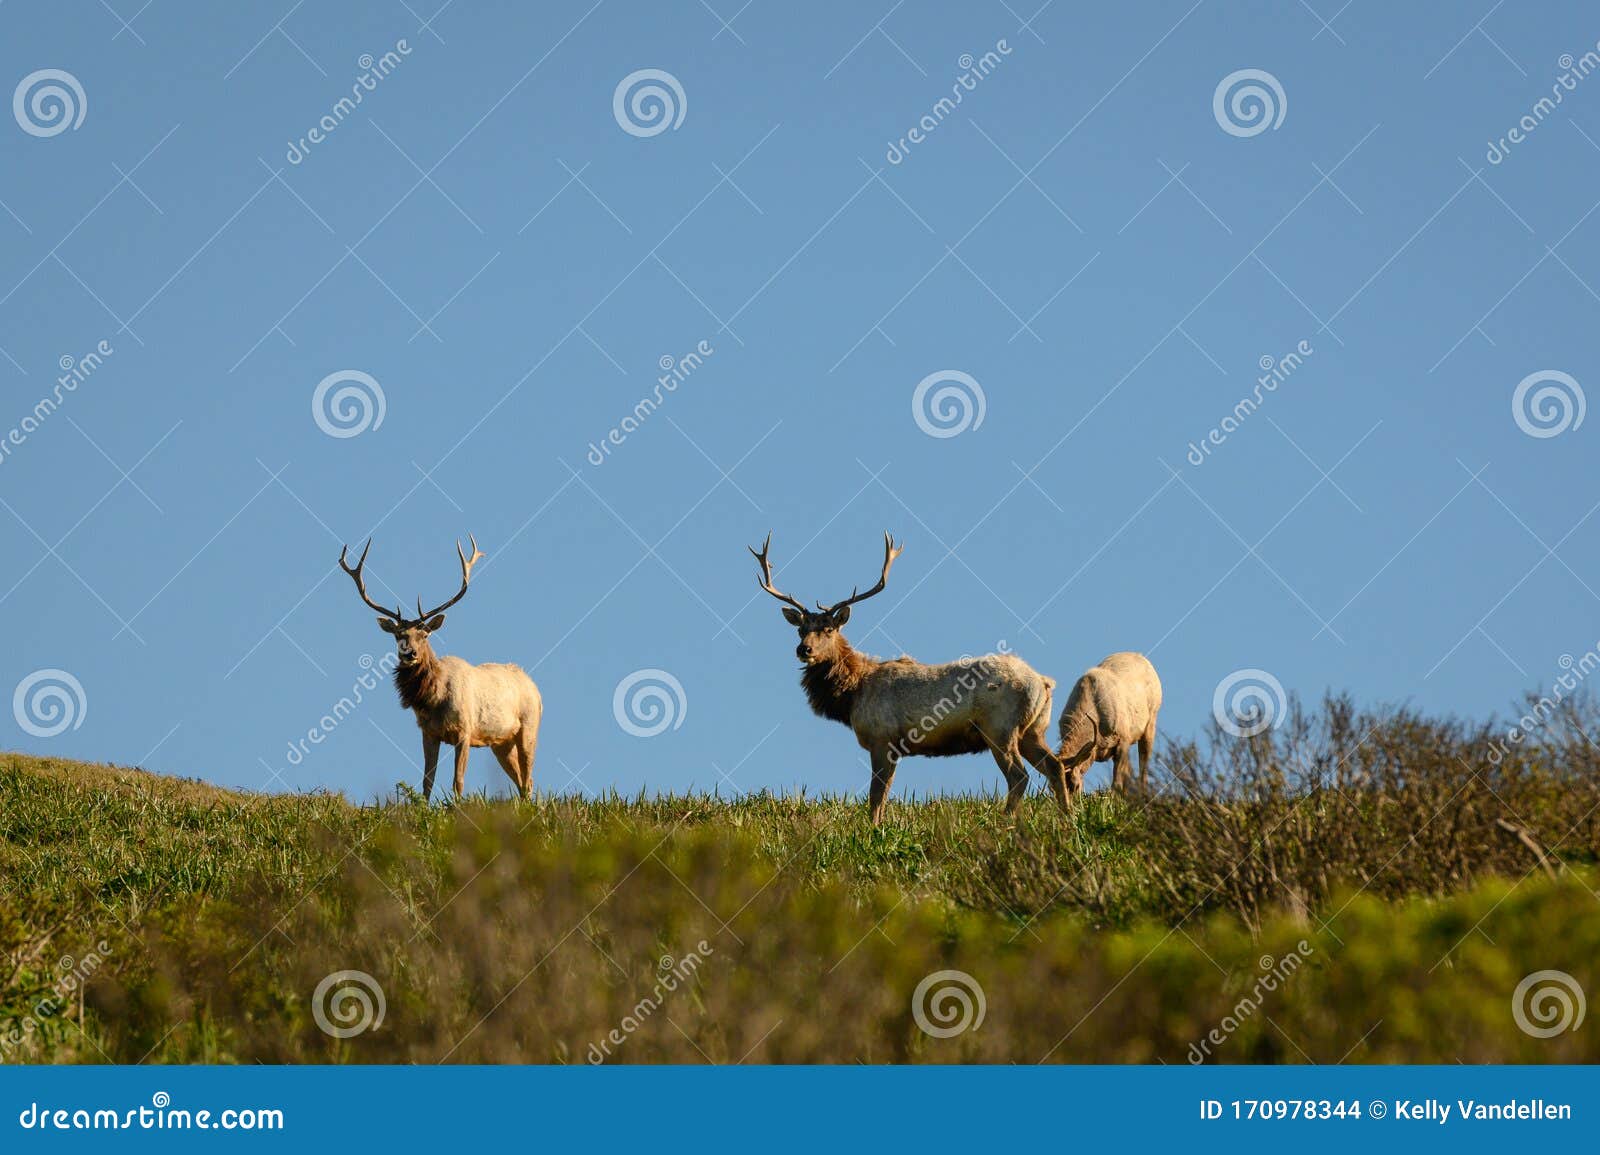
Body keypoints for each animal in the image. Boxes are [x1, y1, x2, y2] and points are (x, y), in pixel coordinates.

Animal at [338, 535, 542, 801]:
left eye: (424, 635)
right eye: (398, 635)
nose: (410, 653)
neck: (435, 699)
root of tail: (535, 689)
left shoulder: (465, 731)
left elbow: (458, 781)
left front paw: (456, 808)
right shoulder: (428, 733)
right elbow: (427, 781)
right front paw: (422, 807)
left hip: (529, 726)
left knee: (528, 779)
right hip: (501, 742)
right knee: (520, 781)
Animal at [749, 532, 1074, 824]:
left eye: (828, 629)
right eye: (801, 629)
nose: (803, 649)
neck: (853, 693)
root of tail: (1044, 682)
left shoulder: (883, 738)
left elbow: (876, 796)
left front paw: (873, 831)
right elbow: (882, 796)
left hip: (999, 726)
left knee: (1019, 776)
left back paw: (1005, 822)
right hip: (1033, 730)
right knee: (1056, 767)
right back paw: (1067, 818)